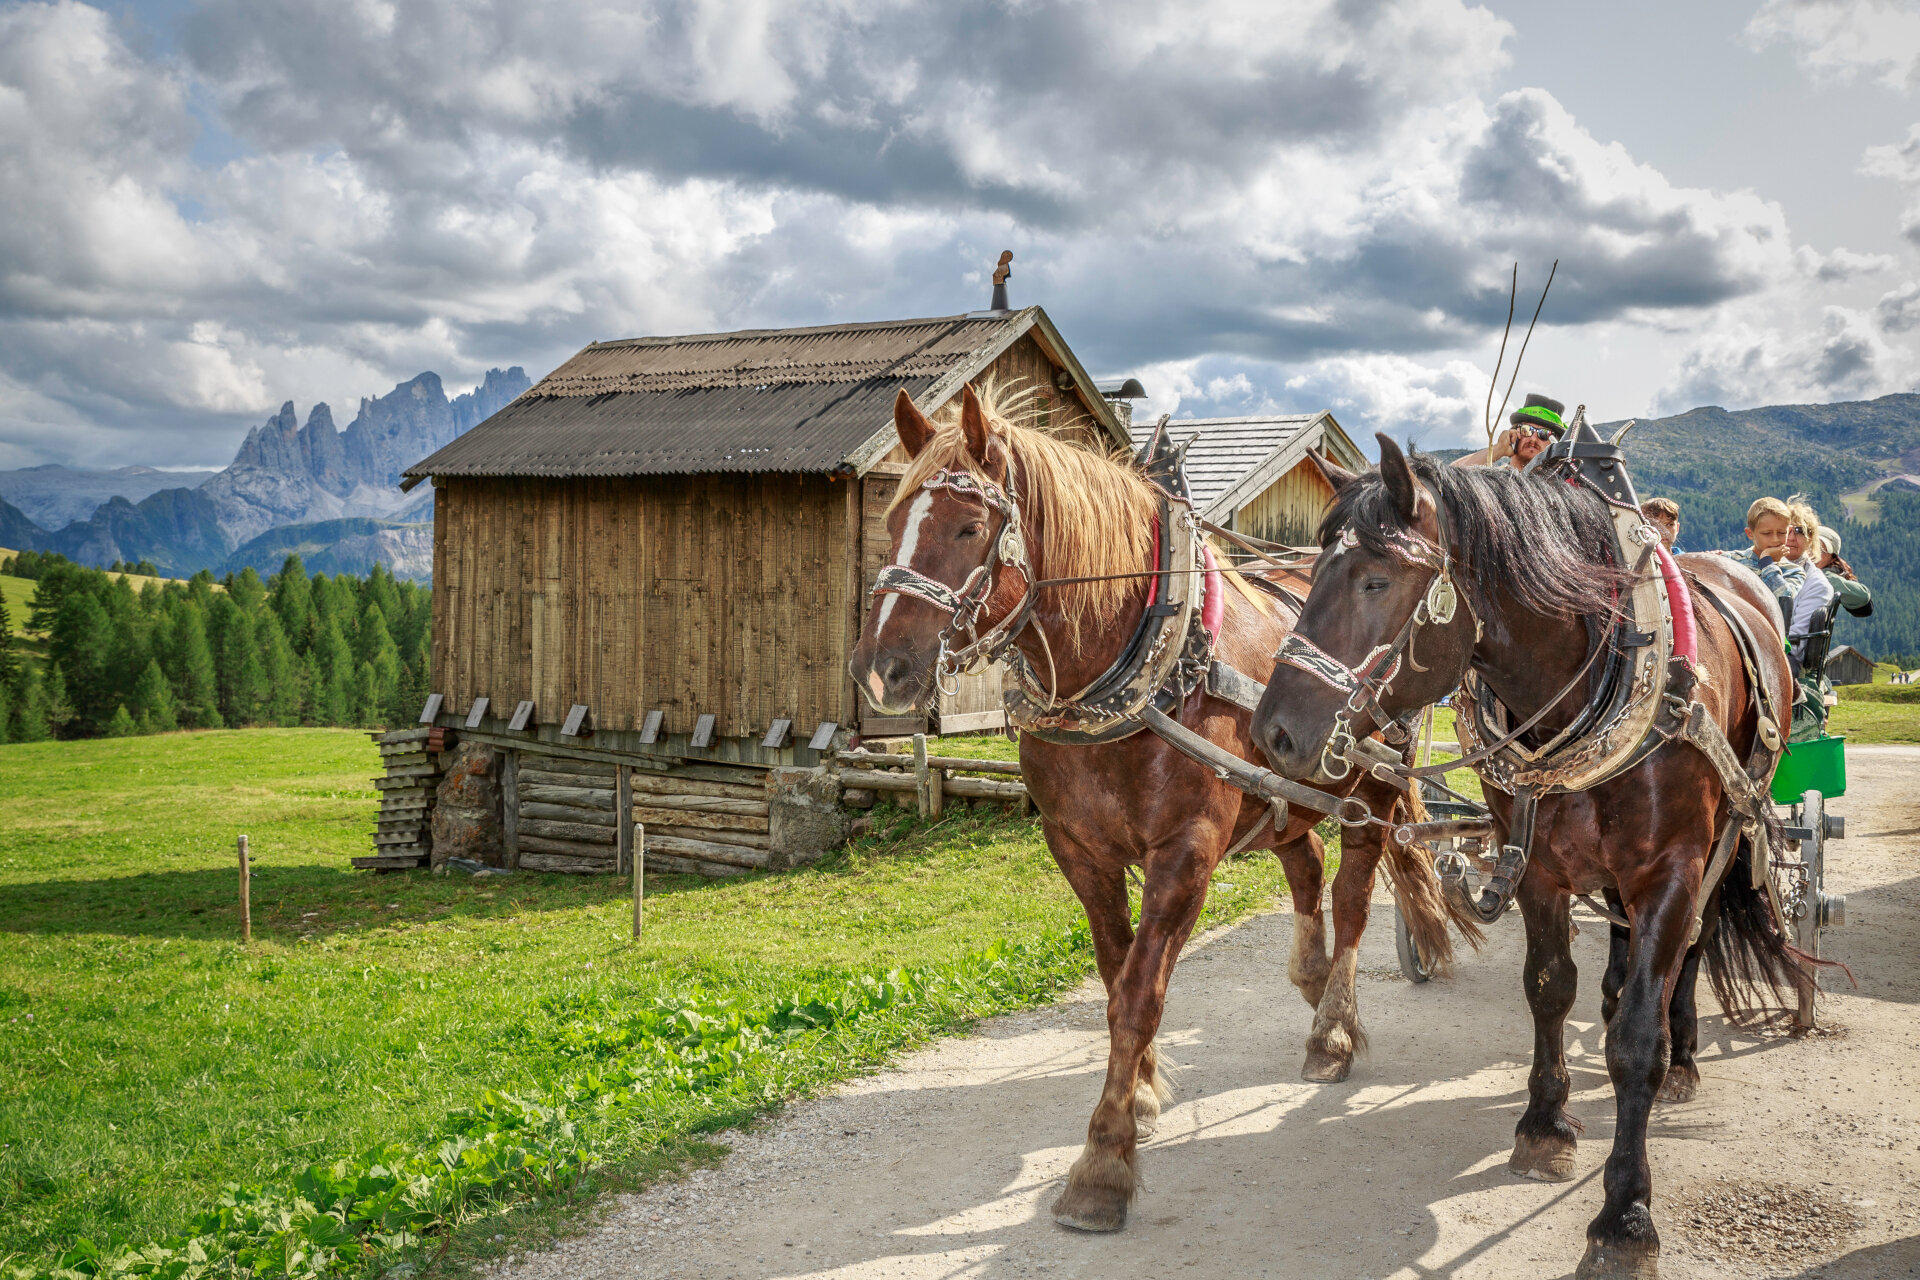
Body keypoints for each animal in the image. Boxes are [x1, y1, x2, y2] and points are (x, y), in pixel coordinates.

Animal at [848, 387, 1459, 1228]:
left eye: (969, 527)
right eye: (894, 512)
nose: (881, 669)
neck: (1127, 665)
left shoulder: (1186, 849)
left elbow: (1140, 994)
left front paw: (1103, 1162)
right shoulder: (1078, 849)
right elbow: (1114, 977)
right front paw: (1137, 1091)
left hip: (1369, 788)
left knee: (1353, 897)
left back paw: (1332, 1030)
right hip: (1280, 792)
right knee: (1302, 864)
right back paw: (1309, 977)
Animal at [1251, 435, 1804, 1274]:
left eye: (1376, 579)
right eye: (1310, 574)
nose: (1273, 733)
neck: (1588, 681)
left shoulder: (1673, 868)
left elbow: (1636, 1038)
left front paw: (1626, 1217)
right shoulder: (1536, 864)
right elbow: (1549, 989)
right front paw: (1545, 1127)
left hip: (1730, 835)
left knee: (1696, 944)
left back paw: (1683, 1058)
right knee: (1619, 950)